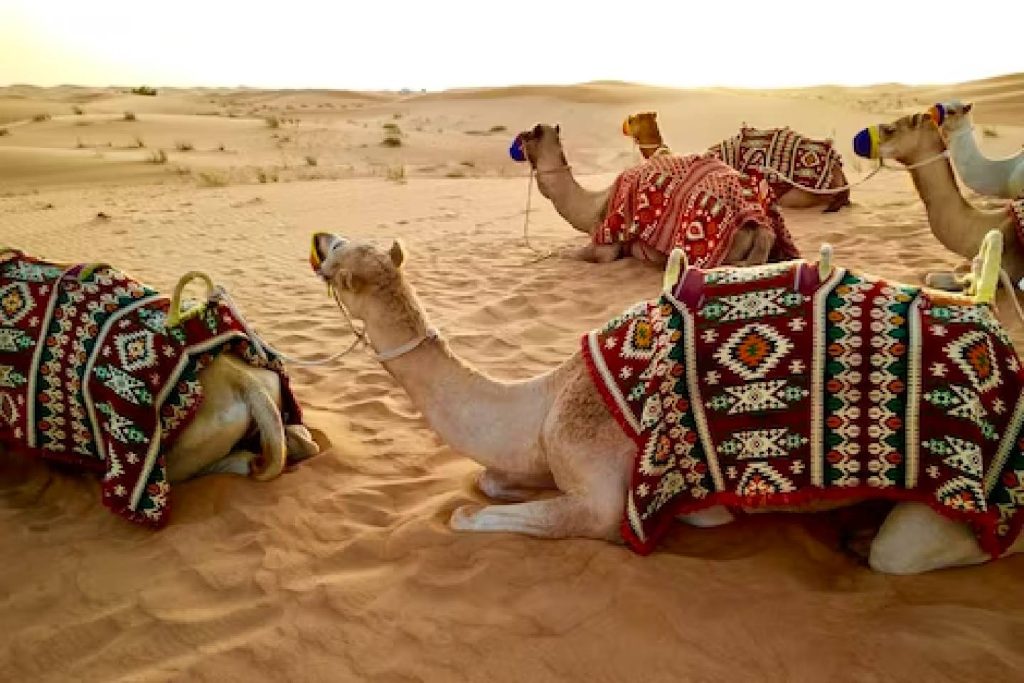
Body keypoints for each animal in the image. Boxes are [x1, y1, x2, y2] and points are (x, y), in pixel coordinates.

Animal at [309, 232, 1024, 573]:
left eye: (340, 265)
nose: (319, 239)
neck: (544, 400)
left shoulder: (601, 496)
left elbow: (468, 514)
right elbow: (489, 481)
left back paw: (865, 539)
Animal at [512, 124, 798, 268]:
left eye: (527, 136)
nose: (516, 144)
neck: (592, 206)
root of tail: (760, 226)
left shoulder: (607, 243)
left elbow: (572, 254)